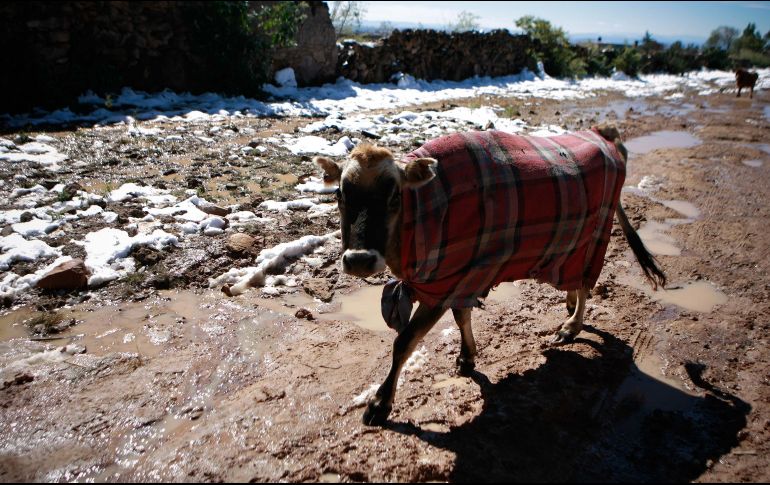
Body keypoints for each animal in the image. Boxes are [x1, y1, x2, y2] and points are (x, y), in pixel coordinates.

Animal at [316, 125, 664, 424]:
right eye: (340, 195)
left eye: (394, 197)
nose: (359, 259)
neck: (425, 211)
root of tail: (605, 133)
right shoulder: (462, 276)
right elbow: (461, 317)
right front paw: (467, 357)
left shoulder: (443, 285)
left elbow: (405, 341)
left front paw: (381, 402)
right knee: (575, 281)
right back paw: (567, 304)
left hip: (595, 235)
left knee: (586, 284)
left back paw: (571, 326)